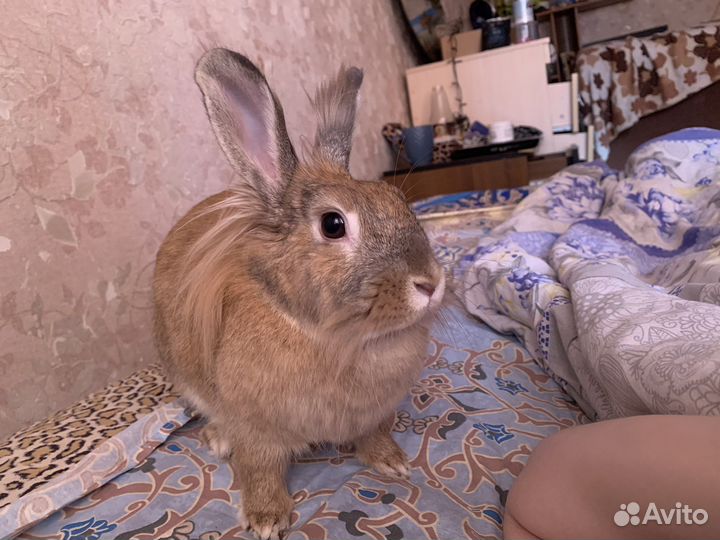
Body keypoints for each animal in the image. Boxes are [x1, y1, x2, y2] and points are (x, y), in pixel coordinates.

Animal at [152, 48, 445, 540]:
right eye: (333, 224)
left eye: (398, 202)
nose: (430, 282)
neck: (338, 339)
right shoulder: (257, 430)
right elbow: (260, 470)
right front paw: (268, 519)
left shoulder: (374, 415)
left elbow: (374, 436)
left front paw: (392, 463)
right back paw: (218, 438)